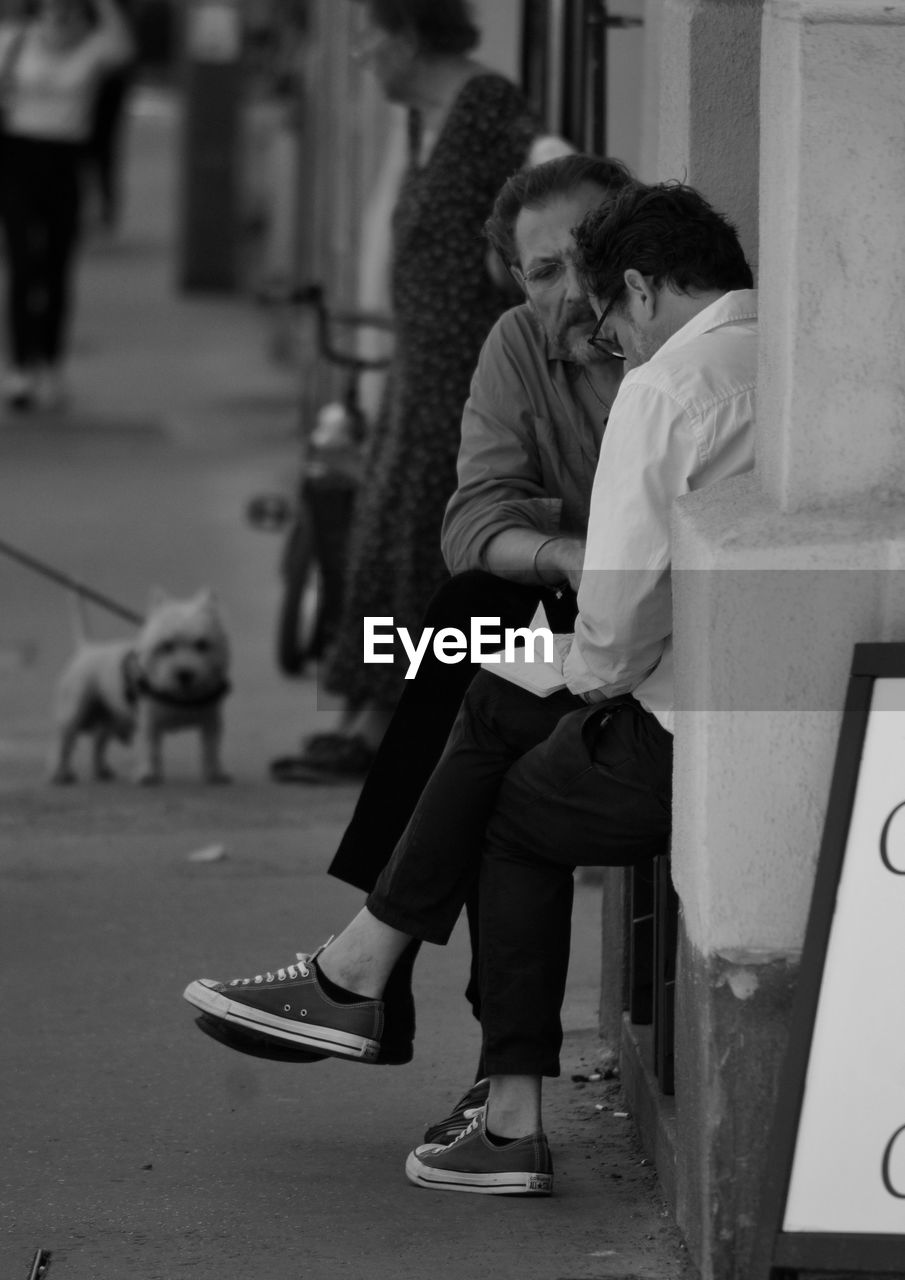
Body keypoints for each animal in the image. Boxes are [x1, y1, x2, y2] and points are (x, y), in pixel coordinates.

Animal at [48, 586, 234, 783]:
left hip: (110, 717)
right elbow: (151, 749)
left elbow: (211, 750)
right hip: (75, 711)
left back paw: (101, 770)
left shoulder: (211, 723)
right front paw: (148, 774)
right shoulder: (149, 724)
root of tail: (87, 648)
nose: (184, 674)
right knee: (64, 741)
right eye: (166, 646)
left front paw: (215, 774)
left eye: (202, 644)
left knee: (98, 741)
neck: (181, 696)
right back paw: (59, 773)